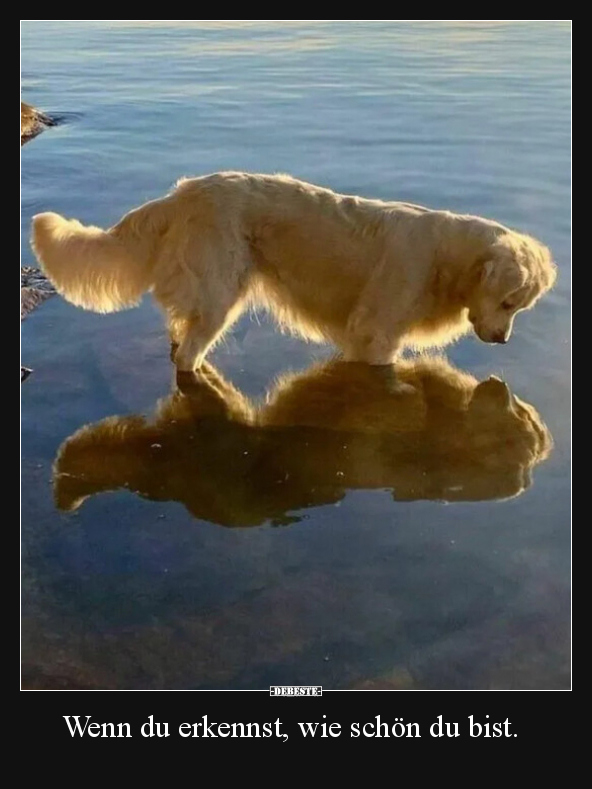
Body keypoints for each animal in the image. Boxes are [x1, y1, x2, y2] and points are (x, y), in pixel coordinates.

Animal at [28, 171, 556, 368]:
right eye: (508, 301)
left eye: (519, 308)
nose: (503, 340)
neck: (445, 258)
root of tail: (183, 193)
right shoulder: (378, 334)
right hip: (220, 294)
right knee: (187, 356)